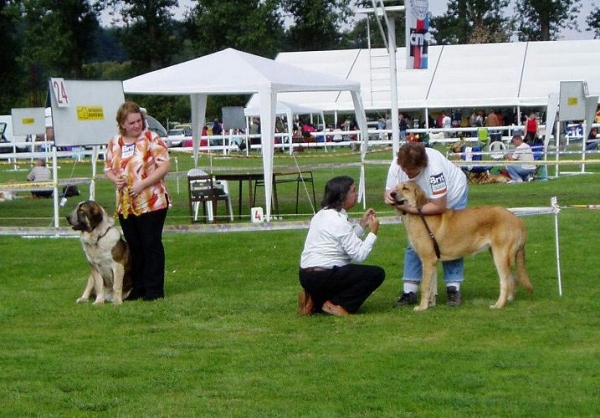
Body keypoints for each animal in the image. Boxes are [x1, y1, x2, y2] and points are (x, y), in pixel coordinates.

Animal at [394, 183, 536, 310]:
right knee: (512, 279)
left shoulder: (428, 260)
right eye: (396, 187)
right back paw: (509, 300)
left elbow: (425, 286)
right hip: (499, 254)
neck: (418, 213)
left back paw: (499, 305)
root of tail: (517, 219)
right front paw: (430, 305)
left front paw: (422, 307)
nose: (392, 194)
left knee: (505, 282)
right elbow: (431, 287)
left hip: (500, 256)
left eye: (405, 188)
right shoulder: (433, 261)